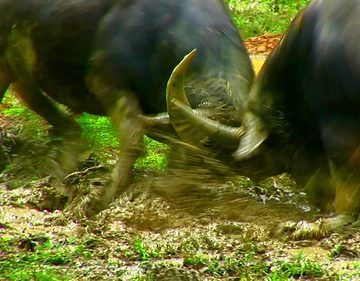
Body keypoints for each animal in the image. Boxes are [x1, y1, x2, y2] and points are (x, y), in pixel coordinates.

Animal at [0, 0, 255, 212]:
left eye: (225, 165)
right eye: (194, 146)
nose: (179, 190)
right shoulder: (106, 81)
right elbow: (132, 137)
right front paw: (101, 198)